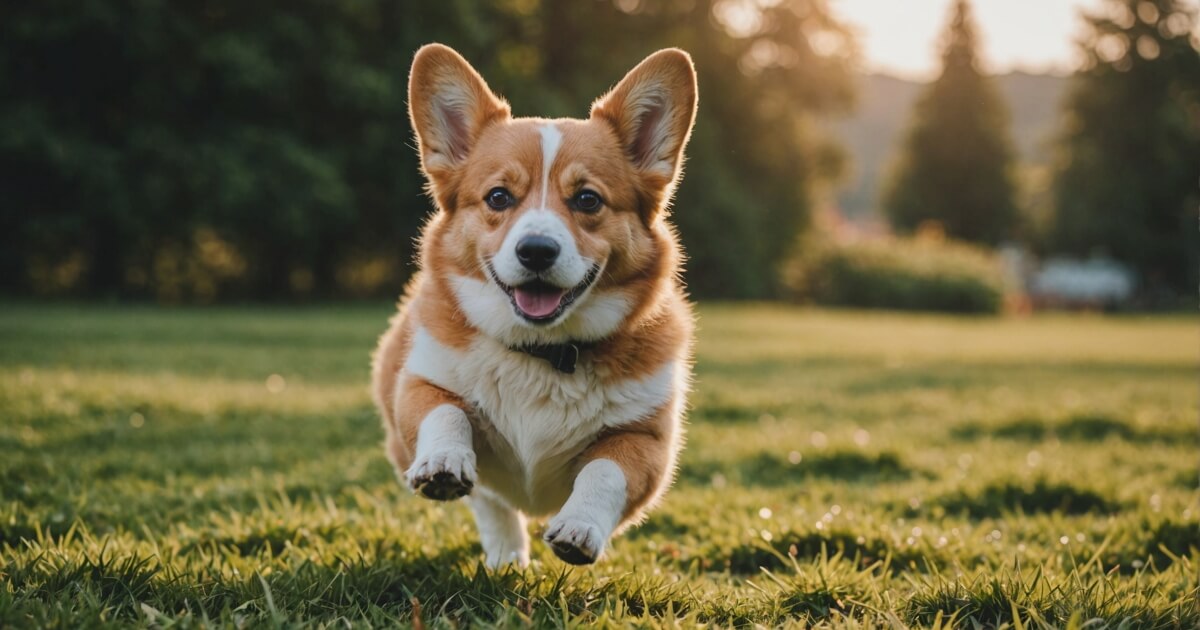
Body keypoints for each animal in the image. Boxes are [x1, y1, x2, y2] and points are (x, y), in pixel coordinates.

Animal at [369, 44, 700, 564]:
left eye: (587, 199)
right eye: (498, 197)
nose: (537, 251)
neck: (543, 352)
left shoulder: (645, 440)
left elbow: (604, 472)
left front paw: (578, 529)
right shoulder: (422, 384)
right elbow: (448, 412)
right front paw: (444, 462)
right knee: (492, 502)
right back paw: (506, 558)